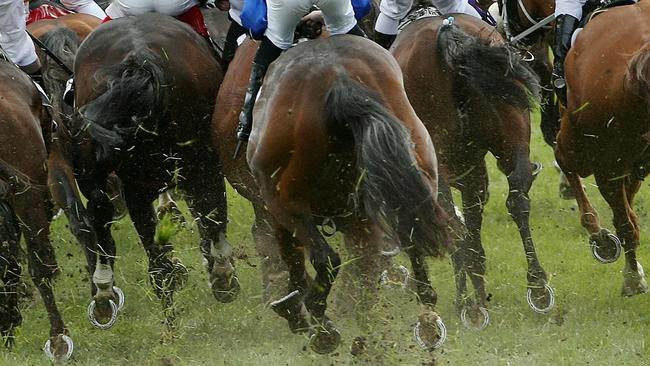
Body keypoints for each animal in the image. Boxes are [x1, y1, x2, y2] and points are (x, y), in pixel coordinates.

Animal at [59, 13, 237, 328]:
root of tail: (140, 58)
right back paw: (218, 277)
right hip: (199, 165)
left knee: (115, 225)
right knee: (209, 214)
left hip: (115, 175)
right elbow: (208, 214)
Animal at [243, 35, 450, 354]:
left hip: (285, 201)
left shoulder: (276, 206)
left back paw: (321, 324)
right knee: (413, 238)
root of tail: (340, 80)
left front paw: (294, 309)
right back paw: (427, 318)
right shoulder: (361, 221)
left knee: (326, 258)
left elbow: (294, 257)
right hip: (417, 173)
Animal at [390, 15, 552, 328]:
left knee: (451, 223)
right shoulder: (473, 173)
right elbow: (473, 226)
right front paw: (478, 287)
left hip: (438, 162)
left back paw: (466, 302)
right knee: (518, 201)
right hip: (512, 139)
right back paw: (537, 287)